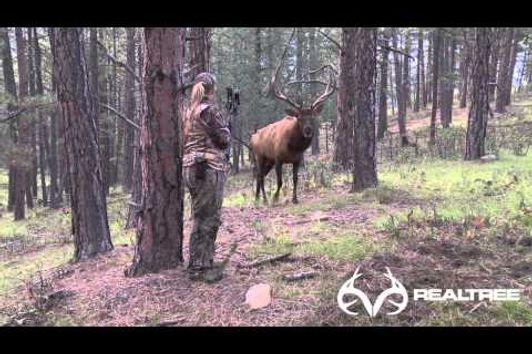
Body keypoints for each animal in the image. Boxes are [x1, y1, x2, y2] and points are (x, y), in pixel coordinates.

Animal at [250, 38, 336, 203]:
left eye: (313, 117)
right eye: (299, 117)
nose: (308, 130)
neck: (294, 147)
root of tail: (252, 137)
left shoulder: (297, 160)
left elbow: (295, 179)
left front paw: (295, 199)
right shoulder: (278, 158)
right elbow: (280, 181)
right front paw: (275, 197)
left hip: (268, 160)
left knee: (259, 176)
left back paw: (257, 198)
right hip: (260, 156)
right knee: (260, 176)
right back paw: (264, 198)